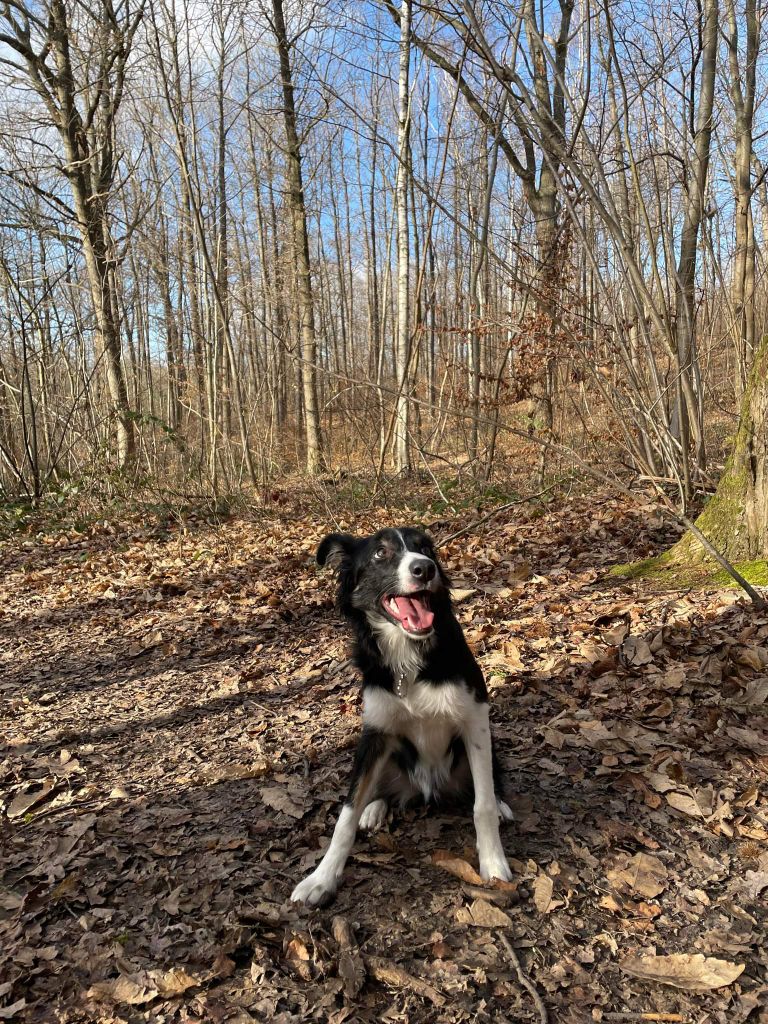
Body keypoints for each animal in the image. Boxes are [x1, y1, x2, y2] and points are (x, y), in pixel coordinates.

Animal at [290, 528, 514, 905]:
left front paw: (494, 863)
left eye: (426, 549)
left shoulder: (475, 716)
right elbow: (345, 814)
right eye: (381, 553)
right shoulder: (376, 731)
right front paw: (321, 878)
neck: (408, 653)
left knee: (488, 785)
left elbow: (481, 805)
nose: (425, 569)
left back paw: (501, 806)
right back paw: (374, 808)